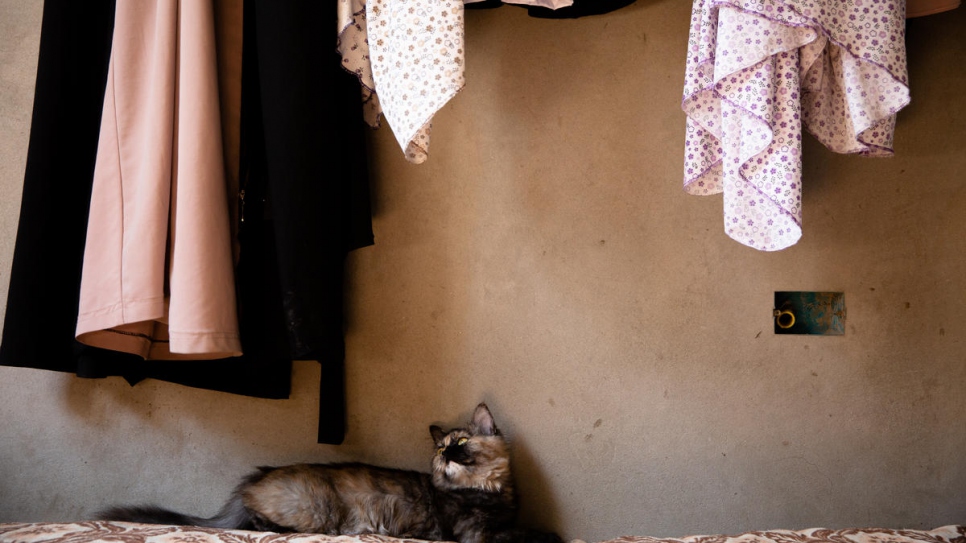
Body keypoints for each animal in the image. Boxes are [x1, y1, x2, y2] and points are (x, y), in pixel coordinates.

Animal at [97, 402, 560, 543]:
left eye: (461, 443)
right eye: (441, 449)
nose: (447, 453)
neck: (489, 491)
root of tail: (252, 481)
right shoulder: (474, 534)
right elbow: (525, 533)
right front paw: (548, 535)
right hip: (315, 511)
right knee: (260, 523)